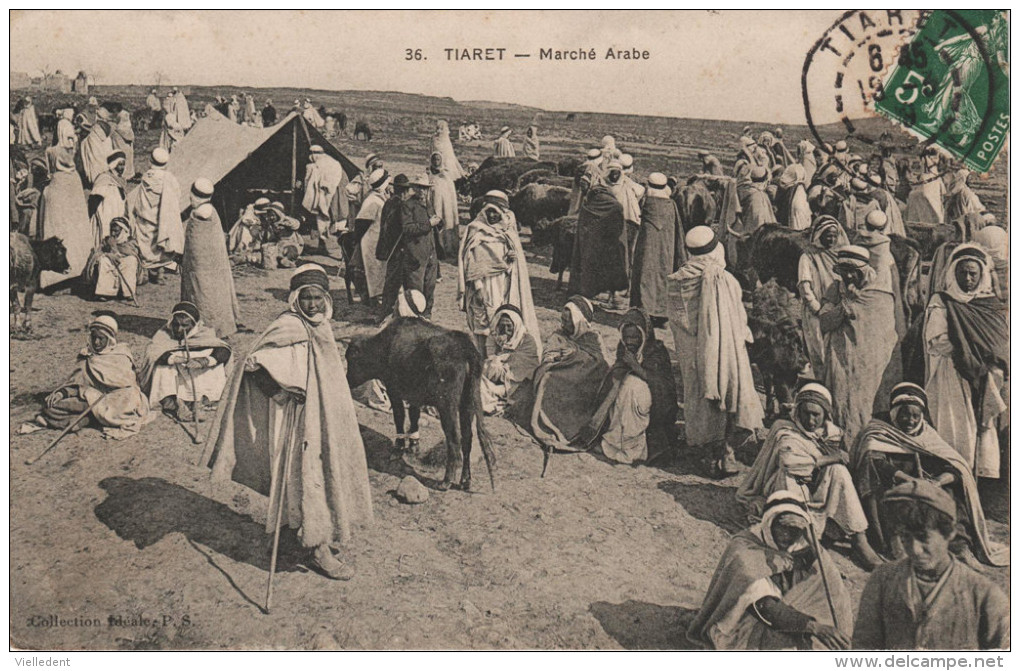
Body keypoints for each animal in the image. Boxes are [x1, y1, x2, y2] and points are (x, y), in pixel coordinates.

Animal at [346, 316, 497, 489]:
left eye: (351, 358)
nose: (347, 379)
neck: (386, 345)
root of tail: (465, 346)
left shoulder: (393, 390)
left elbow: (399, 416)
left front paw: (399, 447)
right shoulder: (415, 396)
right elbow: (414, 416)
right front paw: (413, 444)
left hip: (447, 406)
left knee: (454, 439)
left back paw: (446, 481)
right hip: (468, 403)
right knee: (467, 439)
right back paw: (466, 480)